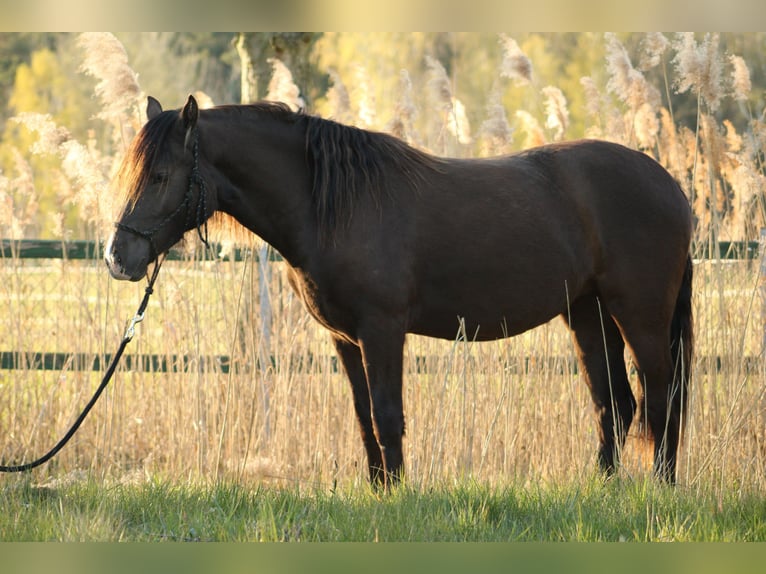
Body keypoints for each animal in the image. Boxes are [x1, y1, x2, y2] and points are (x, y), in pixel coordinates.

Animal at [106, 95, 696, 490]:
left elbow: (388, 415)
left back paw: (660, 489)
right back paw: (605, 488)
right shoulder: (347, 340)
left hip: (639, 316)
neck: (334, 204)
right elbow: (365, 417)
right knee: (614, 404)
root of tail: (670, 185)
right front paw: (379, 490)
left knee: (660, 396)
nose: (118, 258)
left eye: (160, 176)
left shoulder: (383, 330)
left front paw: (397, 496)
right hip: (587, 314)